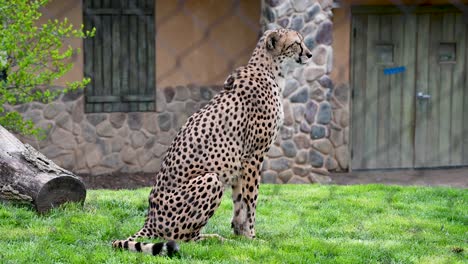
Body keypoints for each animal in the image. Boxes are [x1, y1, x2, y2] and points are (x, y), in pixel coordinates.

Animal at [111, 28, 312, 256]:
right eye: (296, 43)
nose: (310, 54)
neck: (271, 71)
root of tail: (149, 219)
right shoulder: (253, 156)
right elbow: (251, 200)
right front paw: (252, 237)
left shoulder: (239, 162)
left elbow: (239, 201)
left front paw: (240, 234)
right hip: (211, 179)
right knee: (180, 238)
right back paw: (214, 239)